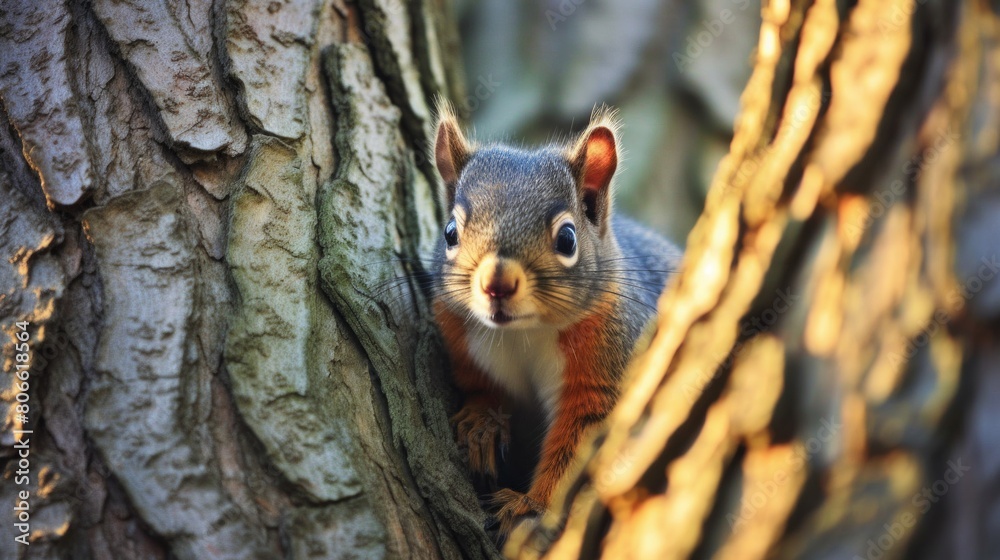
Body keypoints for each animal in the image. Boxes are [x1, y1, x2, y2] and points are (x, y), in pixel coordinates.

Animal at [431, 103, 681, 535]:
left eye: (567, 239)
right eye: (449, 233)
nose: (497, 283)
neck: (523, 333)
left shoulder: (605, 371)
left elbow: (577, 448)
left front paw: (529, 505)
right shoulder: (465, 344)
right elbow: (480, 389)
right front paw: (481, 426)